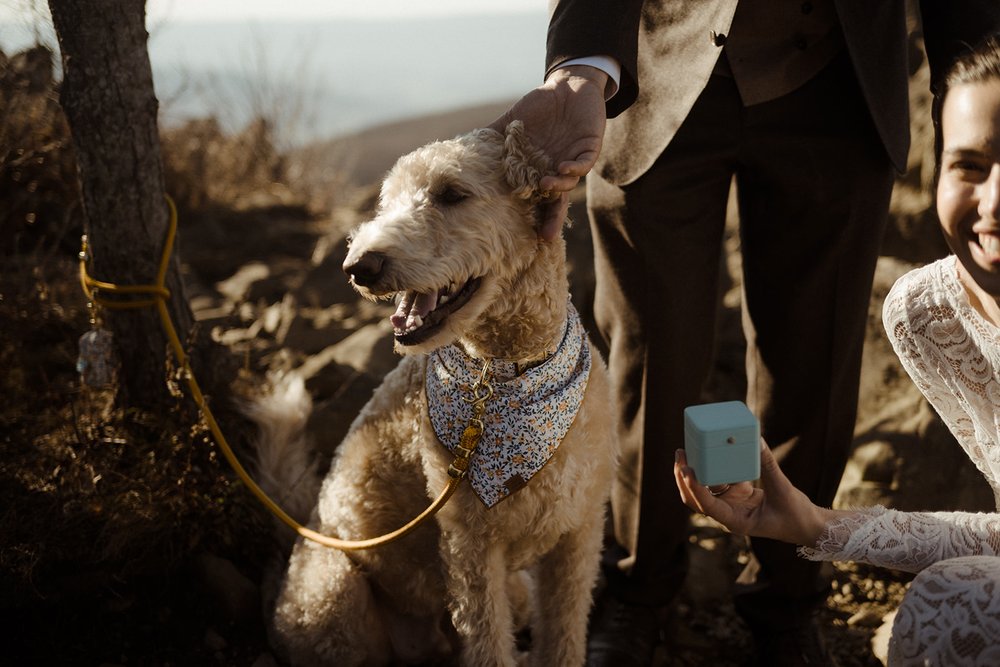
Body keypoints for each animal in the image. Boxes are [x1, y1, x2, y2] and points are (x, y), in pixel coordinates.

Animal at [256, 124, 616, 667]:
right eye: (386, 202)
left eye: (451, 194)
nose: (358, 266)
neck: (505, 374)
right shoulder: (471, 545)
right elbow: (488, 645)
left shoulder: (579, 534)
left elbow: (565, 636)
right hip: (333, 603)